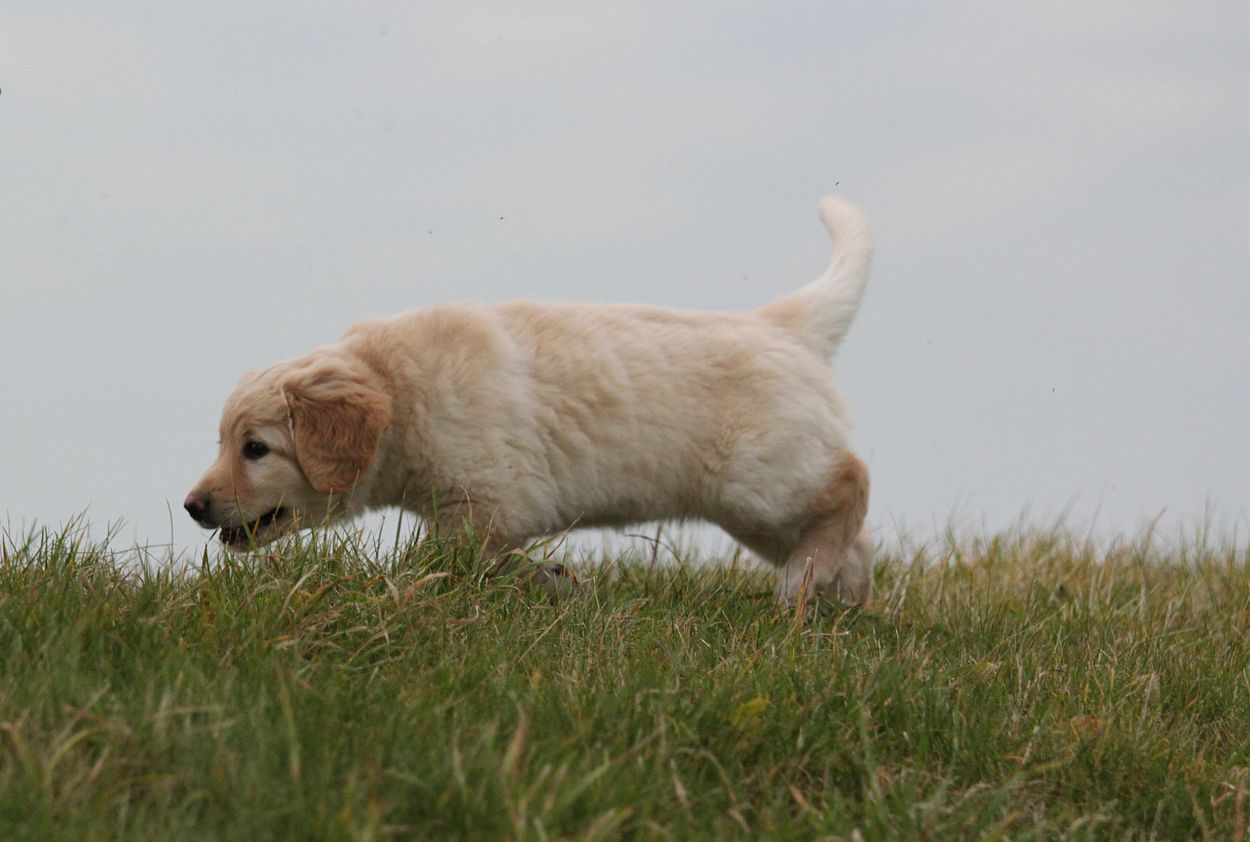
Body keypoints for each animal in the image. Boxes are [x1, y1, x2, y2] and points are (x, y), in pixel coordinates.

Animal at [185, 194, 874, 604]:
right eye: (223, 442)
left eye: (255, 449)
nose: (192, 507)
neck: (401, 388)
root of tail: (783, 324)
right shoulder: (486, 510)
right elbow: (498, 561)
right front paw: (558, 582)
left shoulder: (490, 498)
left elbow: (454, 559)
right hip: (761, 510)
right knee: (854, 544)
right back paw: (831, 600)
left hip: (759, 479)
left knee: (852, 481)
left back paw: (803, 583)